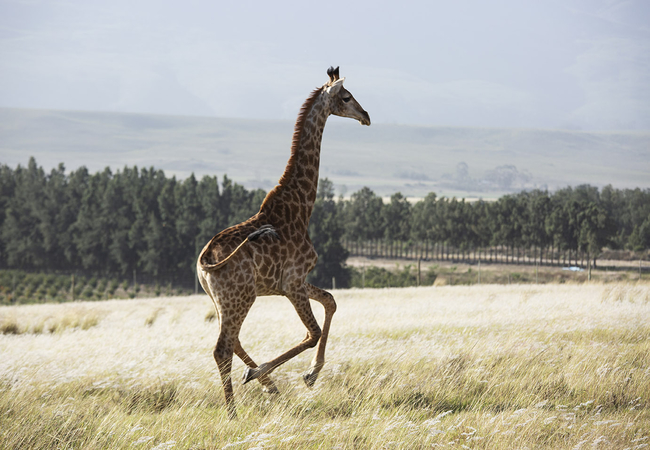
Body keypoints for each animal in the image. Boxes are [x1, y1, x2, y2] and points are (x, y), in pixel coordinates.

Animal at [195, 67, 370, 418]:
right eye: (346, 97)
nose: (367, 116)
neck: (300, 206)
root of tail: (204, 261)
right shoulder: (292, 283)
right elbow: (313, 332)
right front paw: (266, 373)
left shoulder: (294, 282)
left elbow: (331, 301)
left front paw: (311, 374)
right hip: (240, 297)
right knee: (222, 348)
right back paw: (234, 412)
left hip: (222, 300)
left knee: (232, 342)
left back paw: (268, 388)